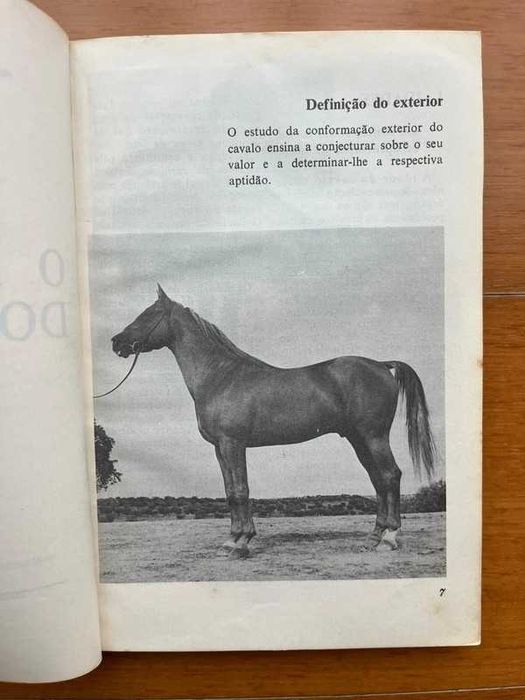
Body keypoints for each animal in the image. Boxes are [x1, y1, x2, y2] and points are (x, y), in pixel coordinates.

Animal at [111, 285, 435, 558]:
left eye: (148, 314)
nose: (117, 342)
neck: (221, 376)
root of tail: (381, 364)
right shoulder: (219, 448)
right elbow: (230, 491)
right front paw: (231, 539)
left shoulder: (233, 444)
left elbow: (241, 490)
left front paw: (241, 543)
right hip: (358, 439)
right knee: (378, 480)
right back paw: (374, 536)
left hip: (374, 436)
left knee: (391, 475)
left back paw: (389, 538)